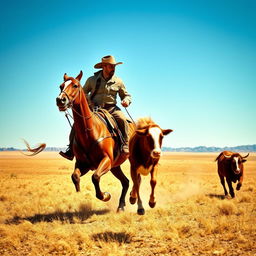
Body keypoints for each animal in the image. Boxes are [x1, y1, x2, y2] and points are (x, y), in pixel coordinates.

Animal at [55, 70, 136, 212]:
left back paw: (133, 198)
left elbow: (95, 177)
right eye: (61, 86)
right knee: (125, 182)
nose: (60, 100)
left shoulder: (106, 160)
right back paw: (121, 206)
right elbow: (75, 177)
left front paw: (106, 196)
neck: (90, 131)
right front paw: (79, 195)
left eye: (75, 85)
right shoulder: (83, 164)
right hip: (115, 166)